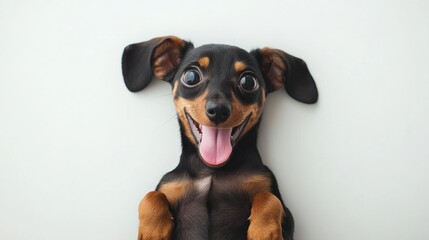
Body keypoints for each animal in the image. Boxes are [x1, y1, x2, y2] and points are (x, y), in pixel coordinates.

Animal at [122, 35, 316, 240]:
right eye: (191, 77)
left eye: (248, 81)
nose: (218, 110)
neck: (213, 170)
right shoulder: (171, 185)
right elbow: (152, 196)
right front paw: (153, 231)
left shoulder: (282, 209)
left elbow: (269, 198)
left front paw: (264, 232)